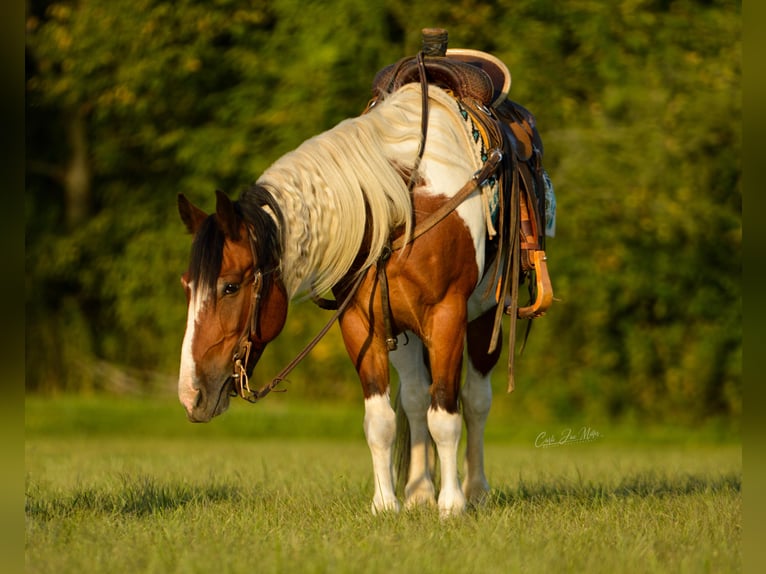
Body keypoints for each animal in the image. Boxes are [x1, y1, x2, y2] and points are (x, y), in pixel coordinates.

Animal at [178, 55, 556, 516]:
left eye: (230, 287)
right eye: (187, 286)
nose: (191, 394)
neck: (399, 209)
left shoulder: (446, 318)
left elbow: (446, 415)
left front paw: (451, 506)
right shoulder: (362, 324)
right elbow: (381, 420)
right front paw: (386, 504)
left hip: (484, 318)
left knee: (474, 400)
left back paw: (475, 491)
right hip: (405, 333)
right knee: (414, 398)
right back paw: (418, 492)